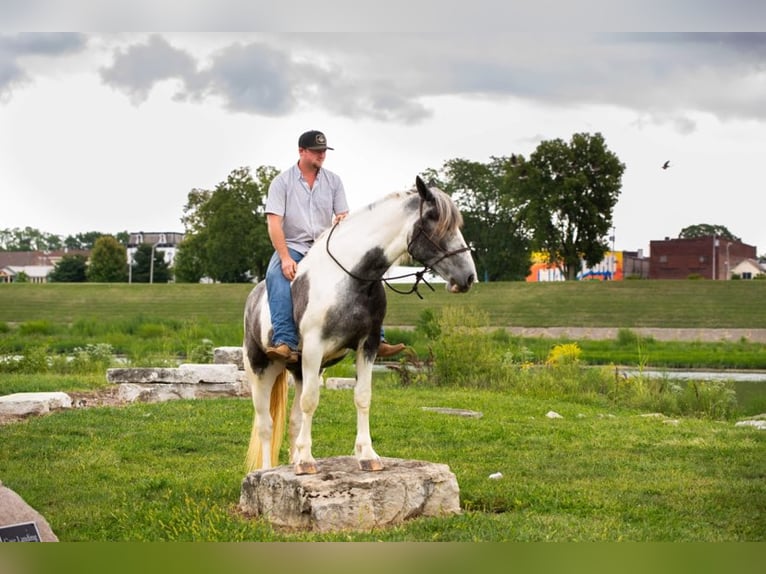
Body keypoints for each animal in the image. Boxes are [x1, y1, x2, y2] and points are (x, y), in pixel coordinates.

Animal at [243, 176, 476, 476]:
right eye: (435, 221)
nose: (468, 277)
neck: (349, 279)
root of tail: (253, 297)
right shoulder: (314, 348)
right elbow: (311, 401)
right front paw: (306, 461)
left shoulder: (368, 344)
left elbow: (362, 397)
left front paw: (366, 454)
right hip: (261, 368)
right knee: (265, 424)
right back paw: (265, 470)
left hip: (298, 369)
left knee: (294, 419)